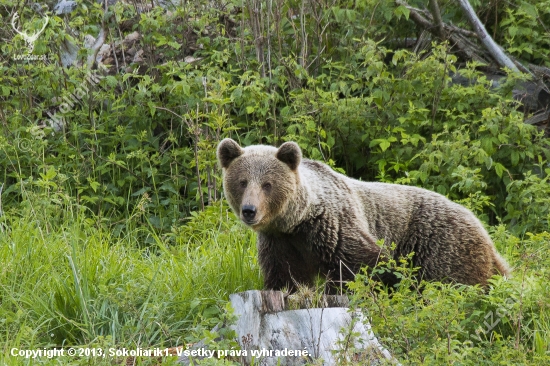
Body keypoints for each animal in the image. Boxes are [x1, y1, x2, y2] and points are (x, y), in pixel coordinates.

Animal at [218, 138, 512, 292]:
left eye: (267, 184)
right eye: (242, 182)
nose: (249, 210)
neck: (297, 222)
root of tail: (483, 230)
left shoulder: (334, 227)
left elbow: (364, 267)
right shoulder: (281, 243)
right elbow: (285, 279)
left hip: (439, 245)